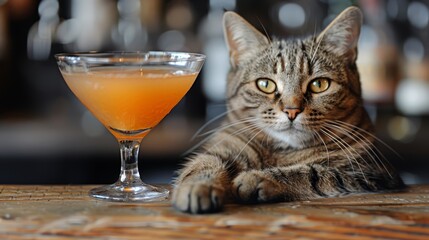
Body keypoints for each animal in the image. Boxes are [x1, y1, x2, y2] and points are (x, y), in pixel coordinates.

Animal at [172, 7, 402, 214]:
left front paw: (259, 177)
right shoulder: (227, 145)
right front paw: (198, 186)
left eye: (319, 84)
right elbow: (203, 163)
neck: (282, 152)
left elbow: (313, 173)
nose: (292, 110)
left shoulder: (370, 173)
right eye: (265, 84)